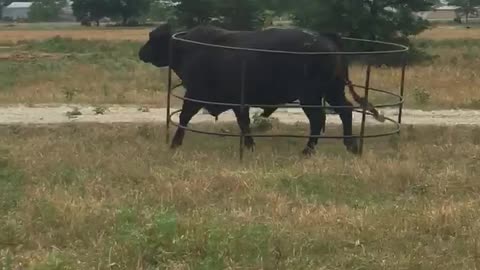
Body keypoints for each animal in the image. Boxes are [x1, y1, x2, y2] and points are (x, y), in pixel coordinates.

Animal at [138, 24, 382, 155]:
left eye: (153, 39)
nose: (141, 53)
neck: (190, 48)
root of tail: (324, 37)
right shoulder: (238, 101)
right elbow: (244, 123)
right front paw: (249, 146)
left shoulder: (196, 94)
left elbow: (184, 117)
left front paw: (174, 143)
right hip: (332, 91)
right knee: (345, 111)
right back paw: (351, 145)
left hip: (311, 95)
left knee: (317, 119)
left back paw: (308, 150)